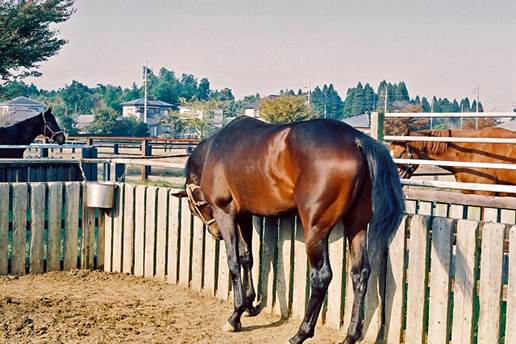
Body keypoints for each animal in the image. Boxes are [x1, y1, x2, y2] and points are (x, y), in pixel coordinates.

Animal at [171, 116, 406, 344]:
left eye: (194, 208)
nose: (216, 234)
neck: (215, 150)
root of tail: (357, 139)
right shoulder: (245, 215)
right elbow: (247, 257)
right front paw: (249, 304)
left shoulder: (225, 213)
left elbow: (233, 261)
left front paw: (235, 315)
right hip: (356, 226)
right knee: (360, 273)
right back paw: (350, 336)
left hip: (315, 230)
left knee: (321, 276)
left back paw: (301, 333)